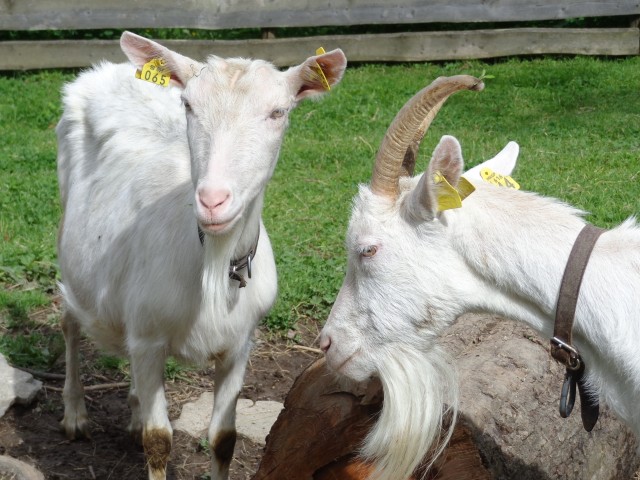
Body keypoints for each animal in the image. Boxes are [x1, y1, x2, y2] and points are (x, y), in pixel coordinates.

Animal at [56, 31, 344, 480]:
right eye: (188, 105)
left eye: (278, 112)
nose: (212, 200)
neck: (212, 264)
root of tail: (108, 70)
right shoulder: (149, 339)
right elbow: (158, 441)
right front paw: (143, 433)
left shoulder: (240, 344)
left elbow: (224, 438)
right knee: (69, 318)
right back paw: (75, 415)